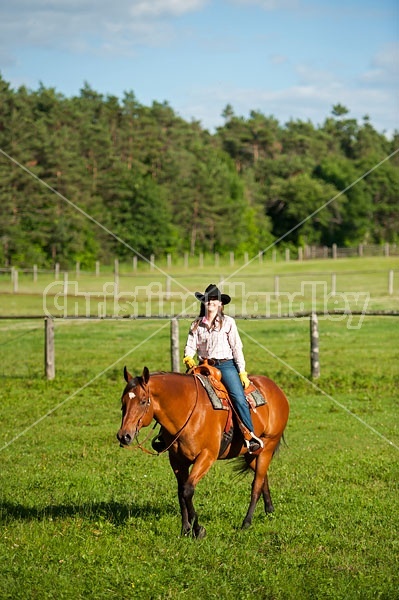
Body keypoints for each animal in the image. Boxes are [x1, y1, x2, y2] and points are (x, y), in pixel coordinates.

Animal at [117, 366, 290, 540]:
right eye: (123, 402)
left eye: (143, 401)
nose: (124, 436)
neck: (188, 411)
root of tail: (275, 388)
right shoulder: (177, 460)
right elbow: (180, 492)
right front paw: (185, 529)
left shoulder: (206, 456)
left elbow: (187, 490)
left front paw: (198, 529)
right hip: (252, 454)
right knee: (262, 477)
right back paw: (269, 510)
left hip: (268, 446)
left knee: (256, 484)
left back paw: (246, 523)